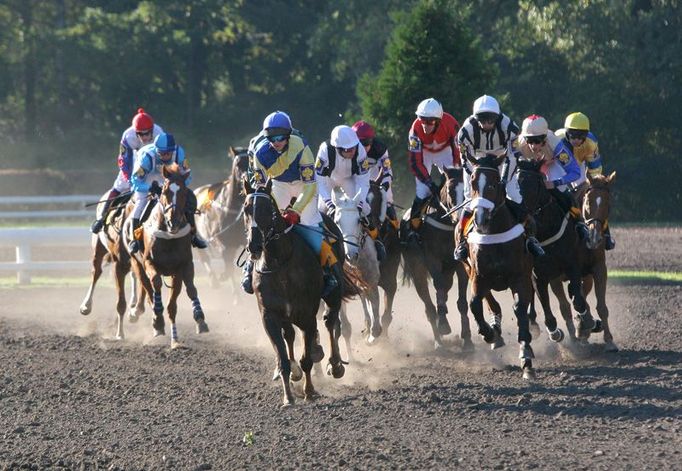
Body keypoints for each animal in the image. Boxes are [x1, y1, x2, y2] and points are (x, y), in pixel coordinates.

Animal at [129, 164, 209, 348]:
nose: (174, 221)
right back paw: (154, 319)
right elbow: (156, 283)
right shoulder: (149, 262)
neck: (168, 235)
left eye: (185, 192)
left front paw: (199, 318)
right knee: (148, 288)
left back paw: (174, 337)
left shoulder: (183, 265)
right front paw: (158, 318)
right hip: (137, 264)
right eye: (165, 191)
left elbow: (189, 290)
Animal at [243, 179, 364, 408]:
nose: (254, 245)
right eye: (246, 209)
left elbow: (307, 357)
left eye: (267, 210)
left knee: (330, 321)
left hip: (332, 295)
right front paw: (288, 396)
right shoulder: (270, 316)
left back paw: (335, 364)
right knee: (291, 335)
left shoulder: (307, 315)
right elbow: (283, 357)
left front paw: (309, 391)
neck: (280, 263)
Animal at [462, 156, 536, 380]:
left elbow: (519, 308)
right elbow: (474, 304)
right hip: (470, 271)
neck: (493, 233)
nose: (479, 217)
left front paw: (526, 356)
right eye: (473, 182)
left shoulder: (520, 277)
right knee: (489, 301)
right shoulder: (477, 276)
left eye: (494, 184)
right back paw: (495, 330)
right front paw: (489, 333)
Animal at [516, 159, 596, 342]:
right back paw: (533, 323)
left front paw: (587, 321)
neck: (546, 231)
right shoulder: (537, 275)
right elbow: (545, 304)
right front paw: (554, 331)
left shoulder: (573, 266)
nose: (521, 214)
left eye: (532, 184)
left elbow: (578, 300)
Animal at [548, 171, 616, 352]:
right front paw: (581, 330)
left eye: (608, 203)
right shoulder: (561, 274)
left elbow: (601, 306)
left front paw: (608, 339)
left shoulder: (597, 269)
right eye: (588, 202)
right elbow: (568, 305)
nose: (594, 238)